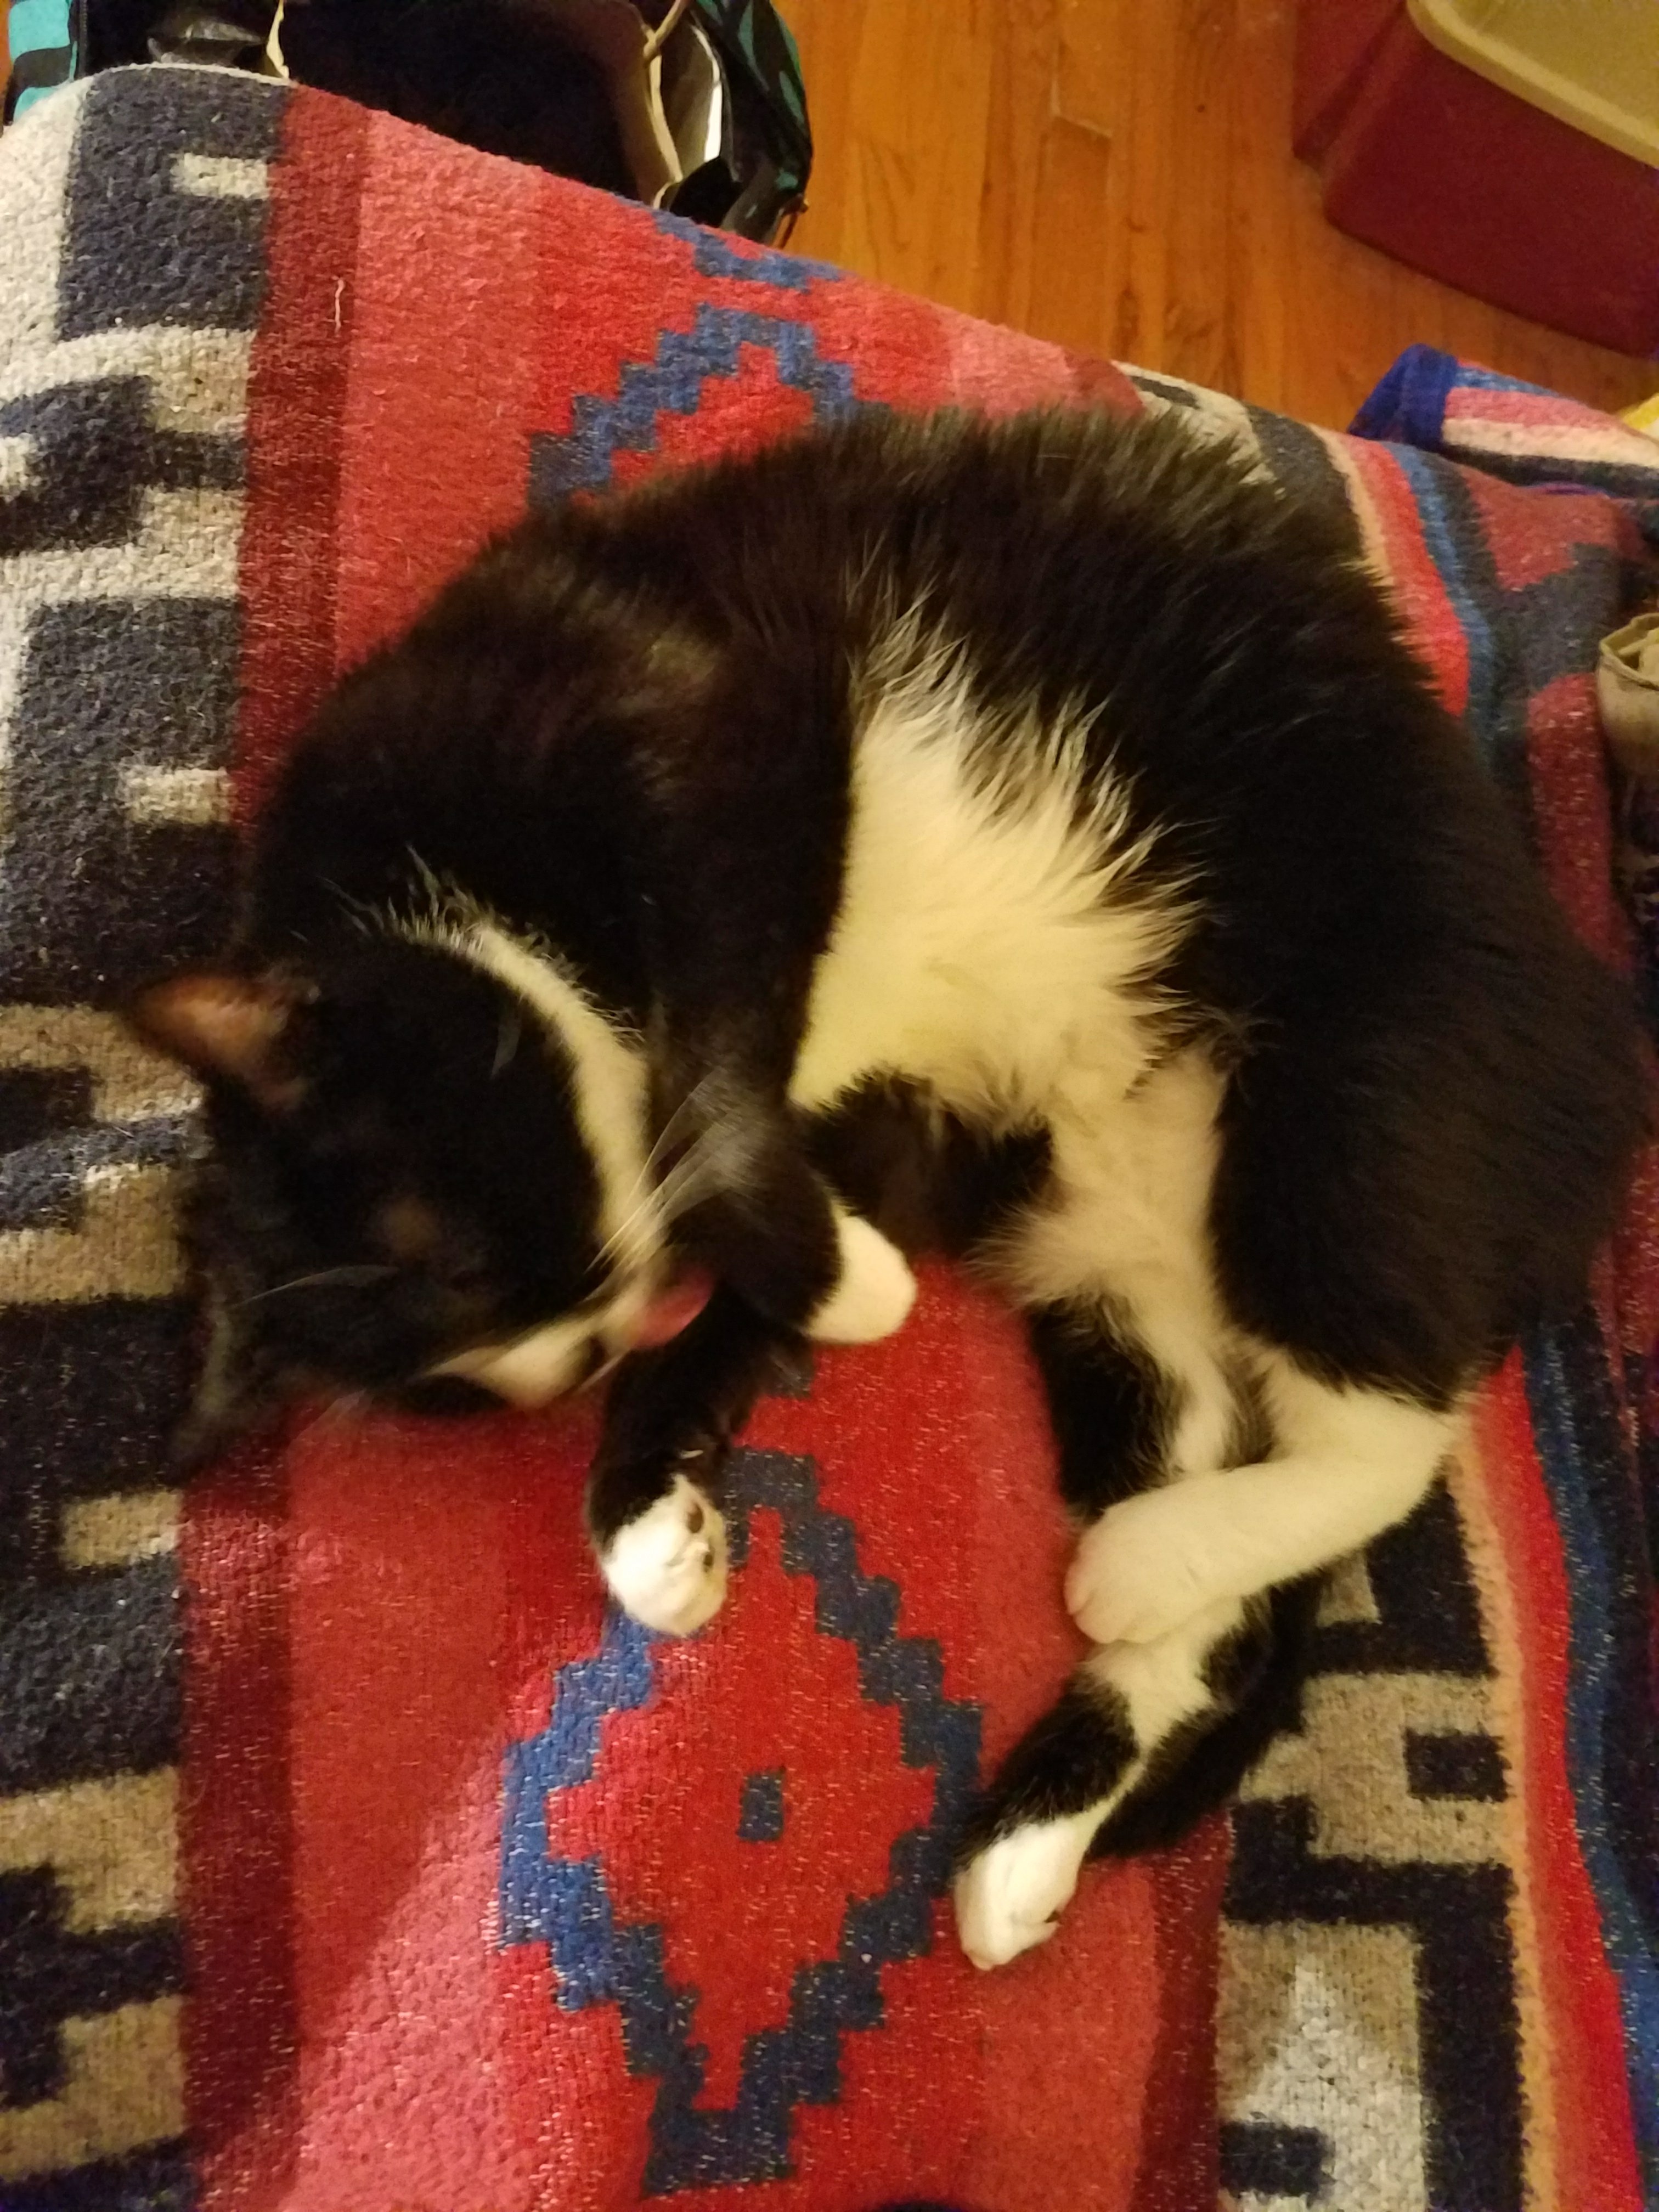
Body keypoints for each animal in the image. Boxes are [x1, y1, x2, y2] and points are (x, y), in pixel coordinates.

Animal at [130, 405, 1644, 1970]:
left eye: (455, 1260)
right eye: (469, 1388)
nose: (582, 1348)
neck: (447, 875)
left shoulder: (721, 743)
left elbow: (714, 1082)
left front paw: (833, 1291)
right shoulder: (896, 1145)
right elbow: (721, 1313)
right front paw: (653, 1528)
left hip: (1349, 1105)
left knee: (1384, 1440)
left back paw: (1142, 1562)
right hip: (1094, 1258)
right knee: (1222, 1592)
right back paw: (1037, 1827)